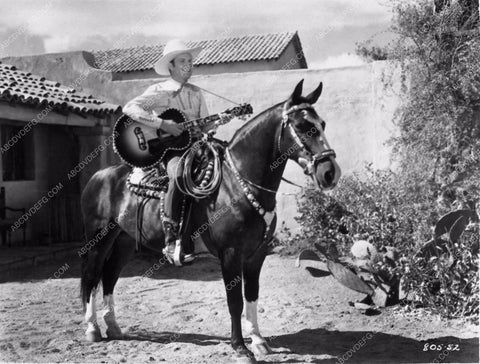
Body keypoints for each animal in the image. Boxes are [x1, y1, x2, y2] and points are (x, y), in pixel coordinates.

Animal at [79, 80, 342, 364]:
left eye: (322, 123)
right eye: (303, 126)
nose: (330, 172)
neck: (237, 184)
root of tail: (100, 175)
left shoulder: (257, 254)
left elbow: (252, 295)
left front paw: (259, 341)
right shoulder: (230, 254)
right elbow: (235, 302)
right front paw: (240, 347)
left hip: (124, 241)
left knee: (109, 276)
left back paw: (113, 325)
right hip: (98, 238)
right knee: (92, 276)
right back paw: (92, 328)